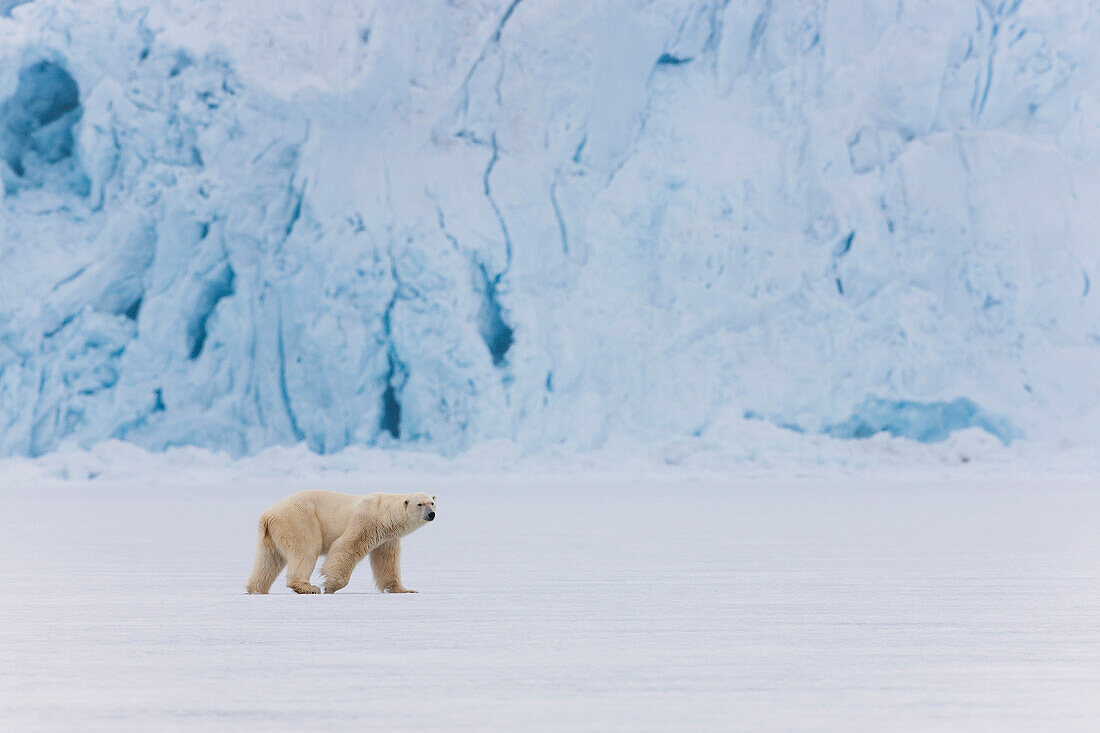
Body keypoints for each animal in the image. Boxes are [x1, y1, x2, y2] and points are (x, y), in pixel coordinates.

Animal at [247, 488, 435, 589]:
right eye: (420, 504)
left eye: (432, 502)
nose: (431, 514)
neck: (383, 513)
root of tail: (268, 514)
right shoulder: (365, 521)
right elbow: (346, 547)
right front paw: (331, 585)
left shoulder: (387, 538)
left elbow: (387, 562)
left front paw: (404, 590)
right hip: (298, 520)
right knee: (306, 549)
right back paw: (308, 587)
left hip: (270, 535)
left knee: (268, 560)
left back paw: (256, 589)